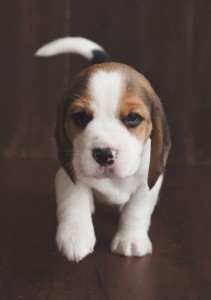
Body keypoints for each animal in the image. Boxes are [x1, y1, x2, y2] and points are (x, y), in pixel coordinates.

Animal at [35, 37, 171, 262]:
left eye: (133, 118)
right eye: (80, 116)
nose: (104, 154)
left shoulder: (149, 181)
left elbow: (137, 209)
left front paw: (130, 239)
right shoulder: (67, 172)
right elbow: (74, 199)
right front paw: (75, 236)